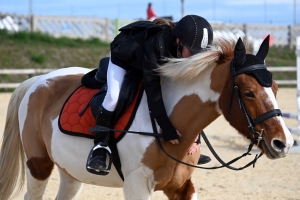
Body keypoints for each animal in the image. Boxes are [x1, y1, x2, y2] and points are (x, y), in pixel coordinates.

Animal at [0, 36, 292, 200]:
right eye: (248, 92)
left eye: (277, 89)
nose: (284, 143)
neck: (171, 123)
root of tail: (38, 80)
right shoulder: (138, 185)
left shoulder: (182, 187)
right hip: (39, 165)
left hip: (71, 172)